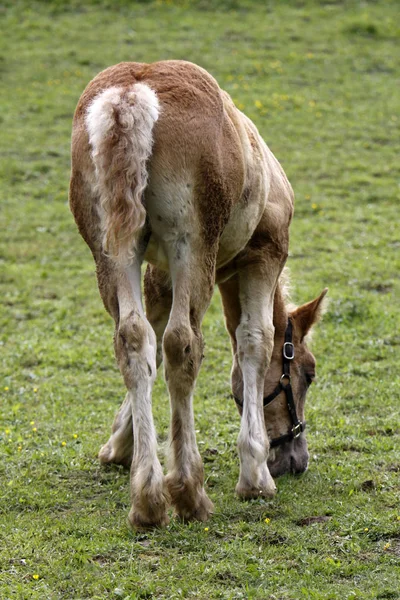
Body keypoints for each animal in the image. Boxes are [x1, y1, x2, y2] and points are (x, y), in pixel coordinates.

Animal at [70, 61, 326, 528]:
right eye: (309, 374)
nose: (295, 460)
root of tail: (130, 94)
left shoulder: (159, 273)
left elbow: (149, 338)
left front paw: (120, 444)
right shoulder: (264, 255)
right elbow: (254, 341)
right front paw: (255, 474)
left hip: (113, 249)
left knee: (132, 339)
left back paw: (146, 498)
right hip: (191, 246)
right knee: (181, 345)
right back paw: (187, 490)